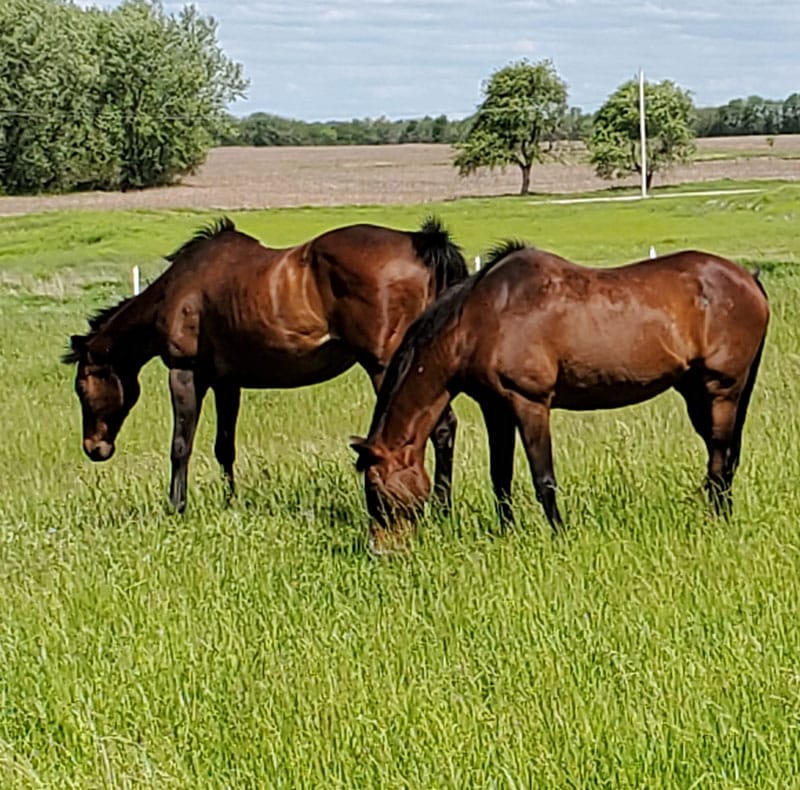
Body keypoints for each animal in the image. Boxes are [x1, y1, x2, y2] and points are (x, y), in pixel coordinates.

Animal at [63, 216, 468, 512]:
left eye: (82, 387)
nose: (94, 448)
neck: (178, 290)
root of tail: (421, 245)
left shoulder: (186, 372)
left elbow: (181, 444)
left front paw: (176, 507)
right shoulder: (226, 382)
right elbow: (224, 447)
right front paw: (230, 503)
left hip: (387, 366)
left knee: (435, 429)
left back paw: (436, 505)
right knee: (443, 429)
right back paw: (442, 506)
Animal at [352, 242, 769, 555]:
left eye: (375, 490)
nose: (380, 551)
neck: (482, 318)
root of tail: (748, 278)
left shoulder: (530, 402)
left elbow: (543, 478)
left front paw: (558, 535)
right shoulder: (496, 408)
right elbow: (500, 476)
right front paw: (507, 533)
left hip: (722, 390)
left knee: (720, 457)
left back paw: (718, 519)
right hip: (697, 392)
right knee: (722, 457)